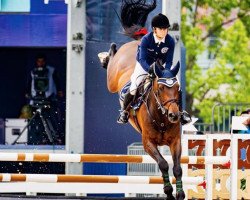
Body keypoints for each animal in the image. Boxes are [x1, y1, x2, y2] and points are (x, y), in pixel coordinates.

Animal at [99, 0, 186, 199]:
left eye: (177, 89)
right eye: (160, 89)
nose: (174, 116)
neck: (161, 118)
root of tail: (138, 42)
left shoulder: (175, 141)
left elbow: (177, 168)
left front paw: (180, 193)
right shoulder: (148, 143)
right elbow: (163, 164)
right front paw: (168, 192)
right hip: (112, 79)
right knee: (112, 63)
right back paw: (107, 55)